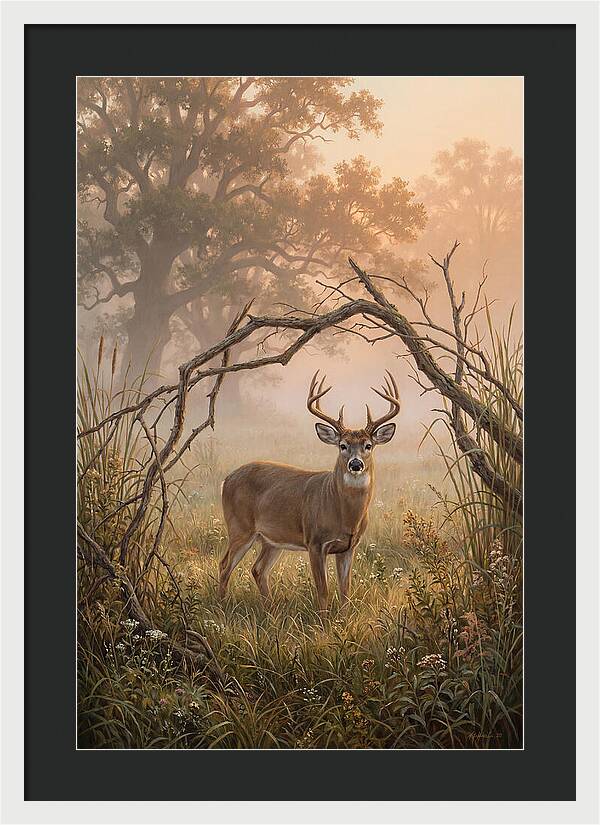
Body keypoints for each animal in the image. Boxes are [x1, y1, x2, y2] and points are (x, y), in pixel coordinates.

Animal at [218, 370, 400, 612]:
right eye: (342, 445)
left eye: (368, 445)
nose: (355, 464)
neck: (344, 515)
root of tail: (226, 480)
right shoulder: (315, 542)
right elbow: (323, 591)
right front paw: (324, 620)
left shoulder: (349, 547)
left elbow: (345, 590)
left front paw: (343, 617)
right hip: (240, 527)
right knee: (224, 565)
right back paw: (221, 606)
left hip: (271, 539)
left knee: (258, 569)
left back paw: (270, 610)